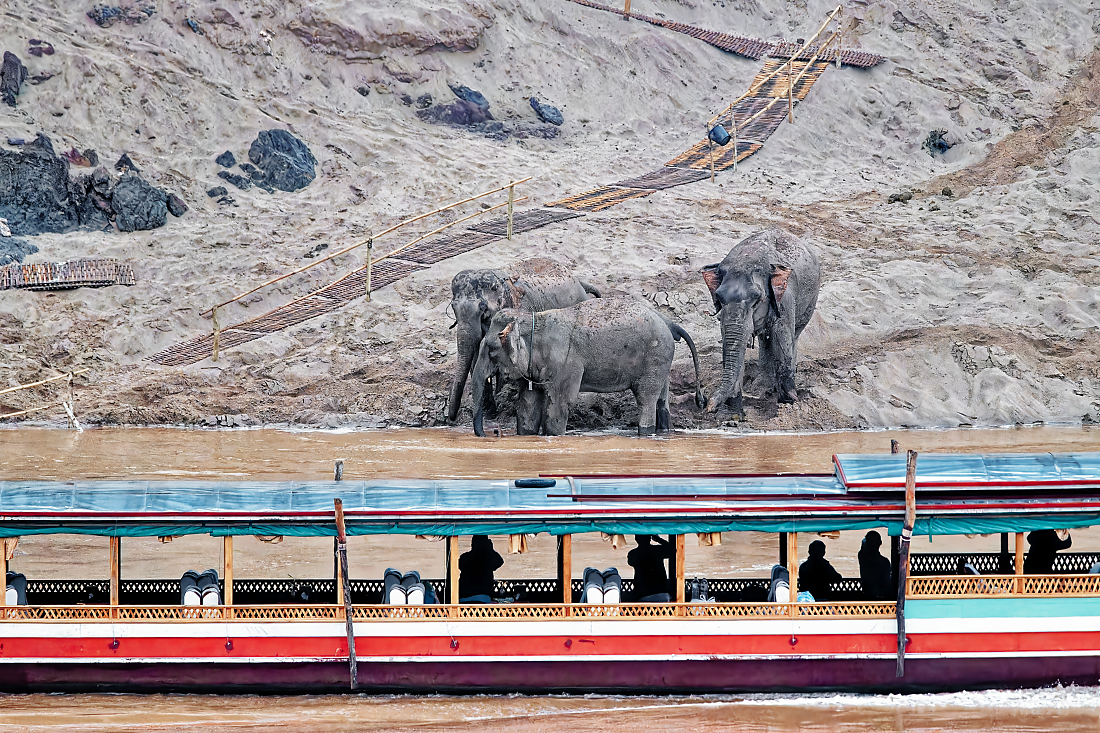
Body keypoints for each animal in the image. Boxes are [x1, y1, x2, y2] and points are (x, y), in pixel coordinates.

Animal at [446, 258, 602, 422]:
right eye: (453, 308)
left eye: (483, 309)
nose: (452, 419)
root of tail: (578, 281)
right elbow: (476, 357)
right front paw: (490, 413)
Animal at [468, 297, 708, 433]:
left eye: (491, 350)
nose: (491, 433)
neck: (534, 319)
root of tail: (669, 322)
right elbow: (528, 406)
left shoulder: (565, 365)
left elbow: (560, 404)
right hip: (661, 360)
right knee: (661, 400)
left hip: (654, 357)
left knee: (646, 399)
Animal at [704, 226, 818, 416]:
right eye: (718, 297)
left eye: (757, 299)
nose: (707, 405)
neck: (748, 257)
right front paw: (734, 411)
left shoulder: (785, 299)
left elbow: (781, 338)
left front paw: (789, 402)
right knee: (765, 339)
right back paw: (762, 387)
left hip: (811, 300)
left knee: (793, 335)